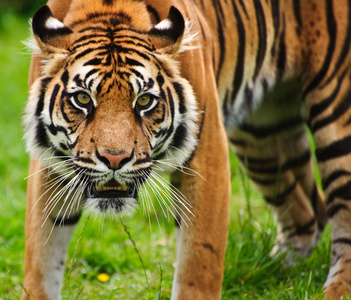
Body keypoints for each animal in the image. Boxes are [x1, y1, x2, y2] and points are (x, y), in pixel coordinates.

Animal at [22, 0, 351, 298]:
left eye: (144, 101)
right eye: (82, 99)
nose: (114, 159)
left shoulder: (207, 157)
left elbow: (198, 263)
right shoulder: (49, 166)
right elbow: (40, 259)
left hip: (337, 114)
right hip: (262, 135)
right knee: (309, 212)